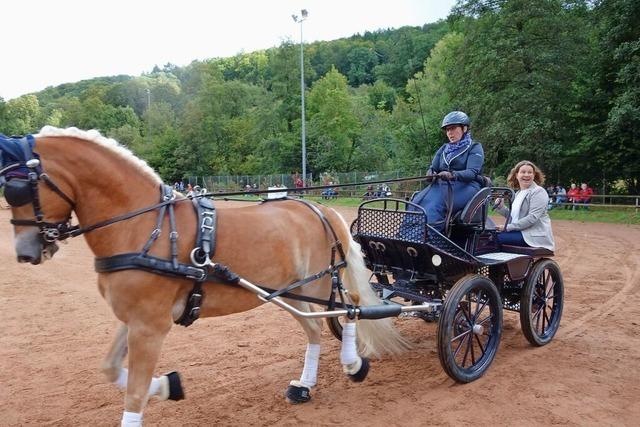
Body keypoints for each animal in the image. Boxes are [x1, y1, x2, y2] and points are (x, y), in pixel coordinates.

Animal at [0, 128, 410, 427]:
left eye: (17, 187)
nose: (25, 252)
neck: (141, 227)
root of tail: (320, 208)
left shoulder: (149, 325)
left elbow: (134, 392)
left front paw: (156, 388)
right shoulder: (135, 318)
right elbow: (113, 368)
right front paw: (168, 385)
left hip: (319, 283)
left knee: (349, 309)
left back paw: (354, 364)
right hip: (290, 292)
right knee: (315, 328)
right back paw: (304, 385)